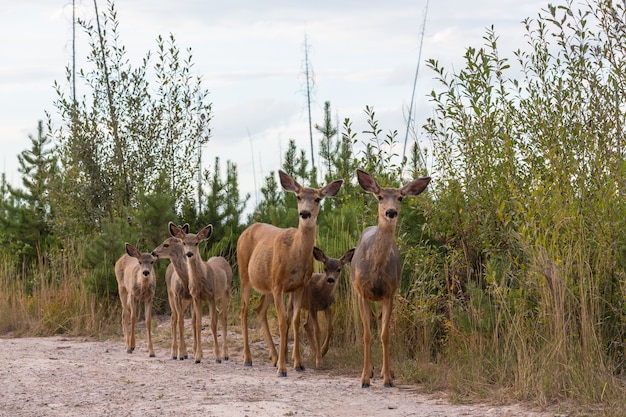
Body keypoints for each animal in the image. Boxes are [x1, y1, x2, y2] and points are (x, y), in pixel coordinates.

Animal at [168, 223, 232, 362]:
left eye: (196, 243)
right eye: (184, 242)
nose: (189, 253)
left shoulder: (211, 296)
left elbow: (213, 324)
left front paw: (217, 356)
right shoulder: (196, 297)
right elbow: (198, 324)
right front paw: (197, 357)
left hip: (226, 291)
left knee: (224, 317)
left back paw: (225, 354)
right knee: (219, 314)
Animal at [238, 167, 344, 376]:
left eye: (318, 198)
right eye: (298, 196)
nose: (305, 213)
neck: (294, 255)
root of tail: (246, 230)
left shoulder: (299, 286)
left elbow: (294, 321)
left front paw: (298, 363)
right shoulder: (279, 285)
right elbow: (282, 321)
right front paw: (282, 368)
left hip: (267, 285)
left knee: (259, 309)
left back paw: (272, 357)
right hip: (245, 275)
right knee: (244, 310)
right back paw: (248, 359)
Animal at [348, 168, 432, 386]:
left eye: (401, 197)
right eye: (380, 197)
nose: (391, 212)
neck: (375, 269)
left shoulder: (389, 293)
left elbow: (385, 335)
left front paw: (387, 377)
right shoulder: (362, 292)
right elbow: (367, 335)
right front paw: (364, 378)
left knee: (380, 324)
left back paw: (387, 372)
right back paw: (370, 371)